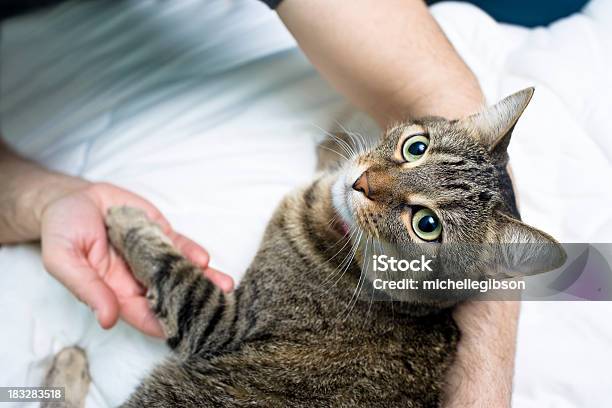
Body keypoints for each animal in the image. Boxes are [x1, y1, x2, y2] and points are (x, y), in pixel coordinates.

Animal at [45, 87, 568, 408]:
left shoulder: (219, 320)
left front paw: (123, 217)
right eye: (415, 147)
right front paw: (332, 152)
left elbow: (166, 264)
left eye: (427, 225)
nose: (361, 183)